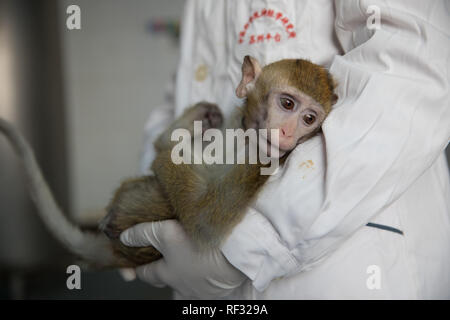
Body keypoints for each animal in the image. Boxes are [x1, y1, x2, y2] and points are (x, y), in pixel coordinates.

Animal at [0, 56, 338, 268]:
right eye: (287, 104)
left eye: (309, 119)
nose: (287, 132)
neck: (243, 137)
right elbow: (166, 143)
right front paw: (203, 116)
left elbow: (203, 221)